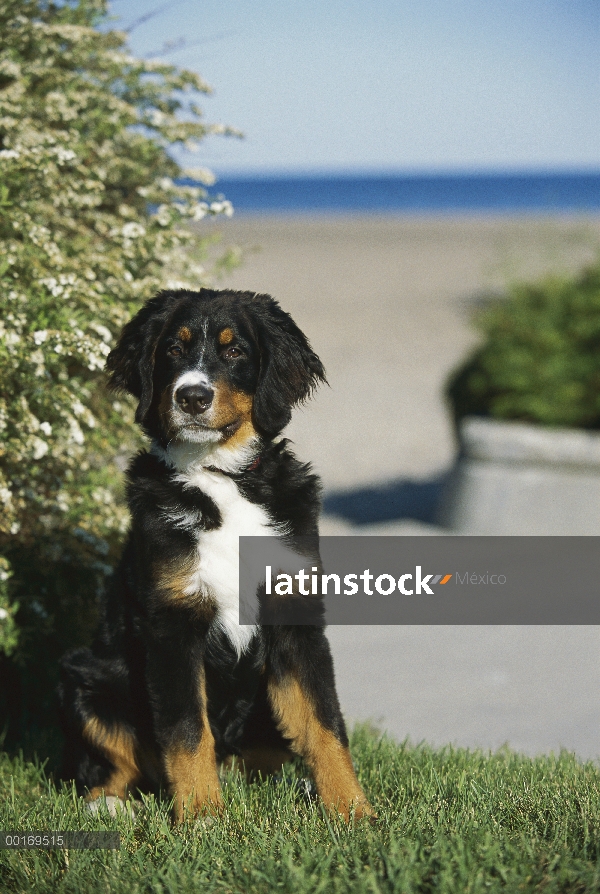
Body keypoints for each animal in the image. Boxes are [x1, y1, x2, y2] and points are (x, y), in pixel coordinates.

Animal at [58, 288, 372, 824]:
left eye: (234, 351)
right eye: (172, 349)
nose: (192, 397)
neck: (220, 478)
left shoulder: (296, 615)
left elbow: (324, 721)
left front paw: (352, 809)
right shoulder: (172, 622)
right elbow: (186, 730)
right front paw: (203, 815)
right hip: (92, 678)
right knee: (114, 762)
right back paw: (110, 806)